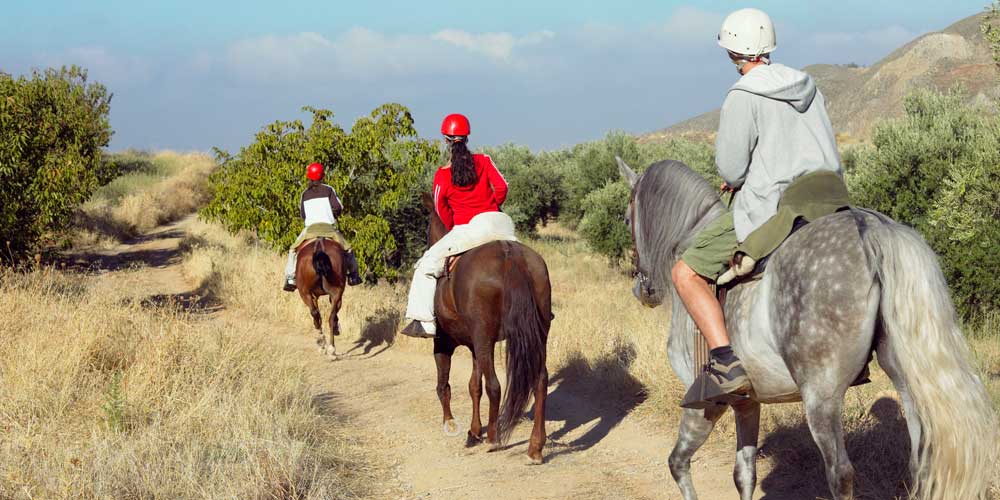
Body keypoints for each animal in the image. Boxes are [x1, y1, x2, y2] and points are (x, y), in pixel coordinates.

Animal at [418, 194, 552, 464]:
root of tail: (509, 253)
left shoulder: (445, 343)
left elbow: (445, 384)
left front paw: (453, 424)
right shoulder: (474, 346)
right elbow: (473, 386)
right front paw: (472, 430)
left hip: (484, 337)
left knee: (495, 386)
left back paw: (493, 438)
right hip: (536, 334)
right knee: (540, 381)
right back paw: (535, 447)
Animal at [620, 159, 996, 500]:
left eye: (626, 218)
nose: (642, 289)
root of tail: (870, 228)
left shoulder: (704, 404)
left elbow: (678, 463)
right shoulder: (747, 403)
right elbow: (744, 473)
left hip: (821, 396)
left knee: (840, 474)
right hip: (905, 380)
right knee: (920, 460)